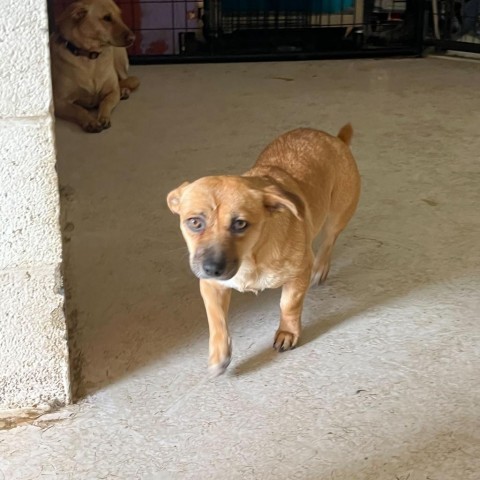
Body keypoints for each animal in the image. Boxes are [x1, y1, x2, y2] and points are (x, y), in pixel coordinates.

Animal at [51, 0, 140, 132]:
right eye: (107, 18)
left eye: (120, 15)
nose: (133, 38)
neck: (91, 58)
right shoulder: (59, 102)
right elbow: (79, 109)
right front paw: (90, 121)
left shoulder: (112, 92)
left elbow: (106, 102)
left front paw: (103, 117)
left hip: (119, 59)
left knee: (125, 79)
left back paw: (124, 91)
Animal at [168, 125, 360, 376]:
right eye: (194, 222)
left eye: (240, 224)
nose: (212, 268)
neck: (252, 256)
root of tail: (335, 139)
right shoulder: (211, 286)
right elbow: (216, 320)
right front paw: (219, 354)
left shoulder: (298, 273)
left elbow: (289, 304)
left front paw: (288, 332)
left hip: (338, 214)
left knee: (329, 240)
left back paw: (320, 267)